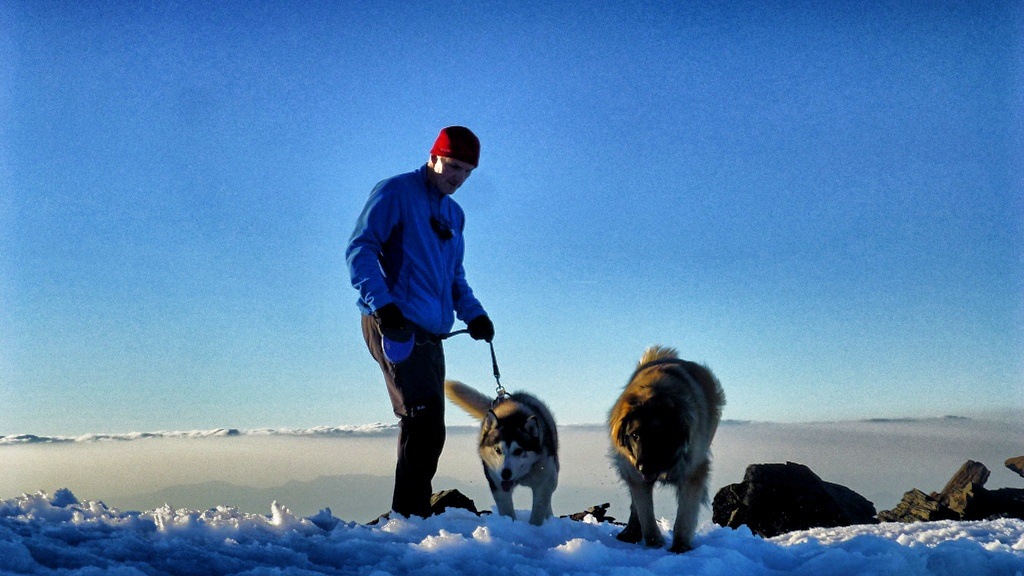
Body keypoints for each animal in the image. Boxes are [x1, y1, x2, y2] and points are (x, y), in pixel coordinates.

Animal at [444, 379, 561, 522]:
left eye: (518, 451)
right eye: (497, 449)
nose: (505, 473)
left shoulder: (544, 481)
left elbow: (538, 511)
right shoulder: (498, 485)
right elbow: (507, 512)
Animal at [610, 344, 724, 553]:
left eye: (661, 436)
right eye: (635, 435)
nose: (644, 467)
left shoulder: (693, 471)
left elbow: (684, 514)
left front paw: (680, 546)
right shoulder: (633, 471)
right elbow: (645, 511)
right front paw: (654, 542)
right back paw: (631, 531)